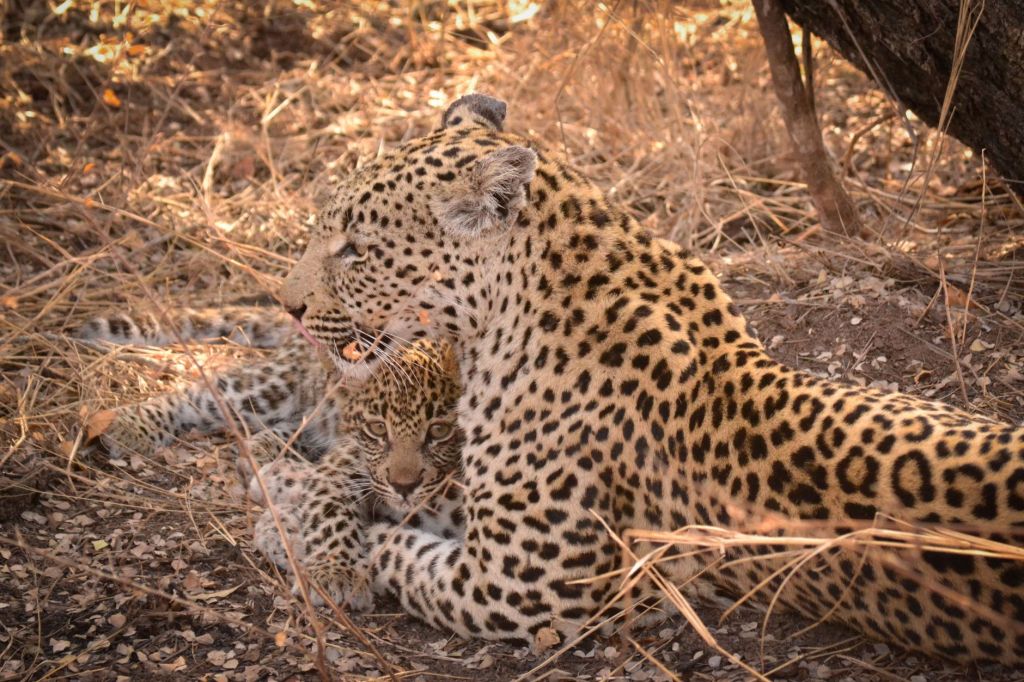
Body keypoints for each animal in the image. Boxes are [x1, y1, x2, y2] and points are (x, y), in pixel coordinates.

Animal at [78, 307, 465, 607]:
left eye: (439, 431)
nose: (404, 486)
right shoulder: (339, 468)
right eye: (377, 429)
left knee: (291, 428)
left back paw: (263, 454)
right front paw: (335, 572)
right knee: (199, 395)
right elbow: (331, 515)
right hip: (271, 386)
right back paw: (129, 426)